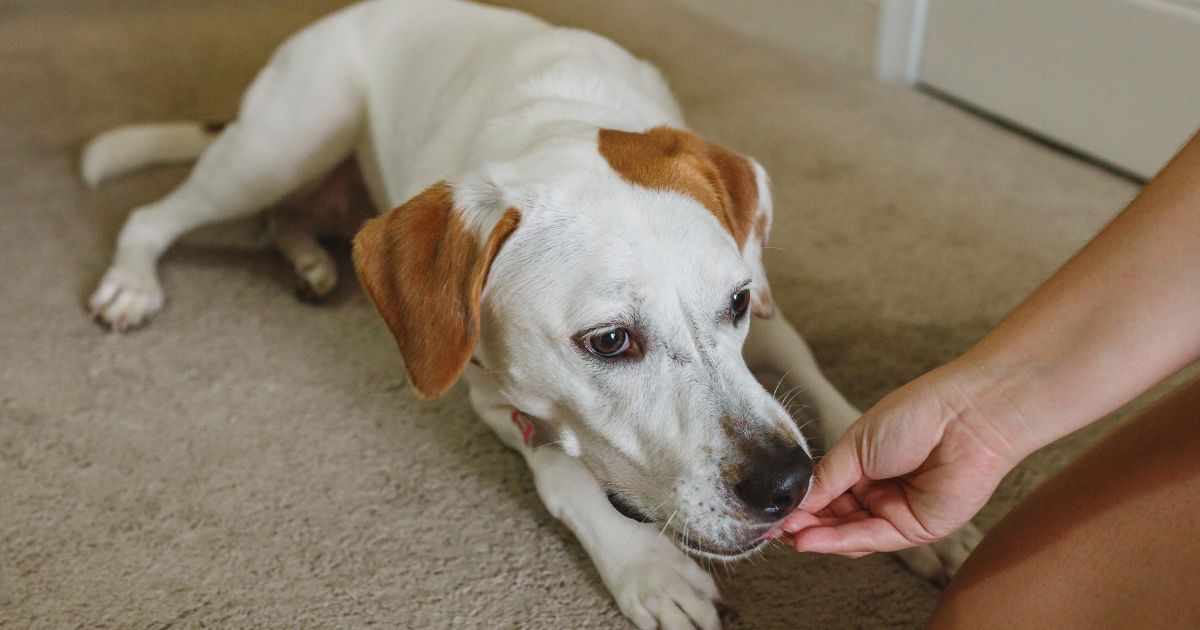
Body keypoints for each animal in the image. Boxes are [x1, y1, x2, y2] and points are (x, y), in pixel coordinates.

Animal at [84, 1, 984, 624]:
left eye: (733, 304)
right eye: (610, 341)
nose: (787, 484)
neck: (562, 120)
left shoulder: (767, 307)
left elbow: (822, 385)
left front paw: (914, 502)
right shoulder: (487, 390)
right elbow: (565, 476)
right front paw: (646, 567)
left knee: (283, 221)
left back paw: (308, 260)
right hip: (281, 143)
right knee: (158, 215)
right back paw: (131, 281)